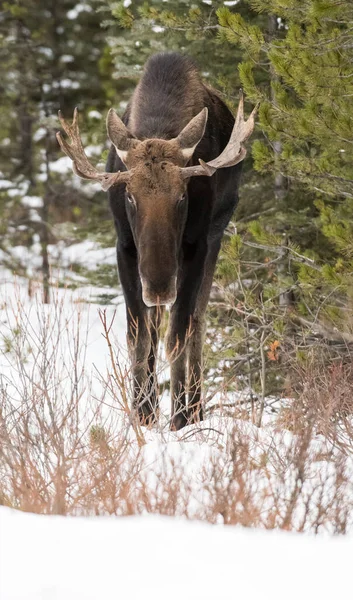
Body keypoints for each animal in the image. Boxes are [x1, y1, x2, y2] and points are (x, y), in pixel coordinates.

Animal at [57, 50, 256, 426]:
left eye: (183, 195)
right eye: (129, 196)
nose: (159, 288)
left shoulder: (196, 246)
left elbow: (178, 334)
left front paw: (180, 419)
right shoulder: (124, 246)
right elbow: (138, 336)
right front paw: (142, 414)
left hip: (217, 234)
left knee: (197, 322)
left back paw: (196, 408)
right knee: (154, 325)